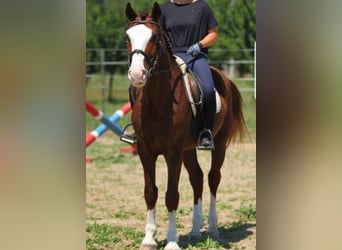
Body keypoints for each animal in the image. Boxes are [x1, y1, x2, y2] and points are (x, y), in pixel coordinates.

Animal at [125, 2, 246, 250]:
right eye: (127, 37)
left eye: (154, 38)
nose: (137, 74)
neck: (158, 101)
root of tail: (225, 78)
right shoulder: (145, 150)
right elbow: (150, 192)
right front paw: (149, 239)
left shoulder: (173, 152)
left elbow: (171, 194)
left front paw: (171, 241)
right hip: (188, 149)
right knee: (197, 178)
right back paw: (195, 231)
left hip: (219, 144)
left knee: (213, 178)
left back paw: (212, 228)